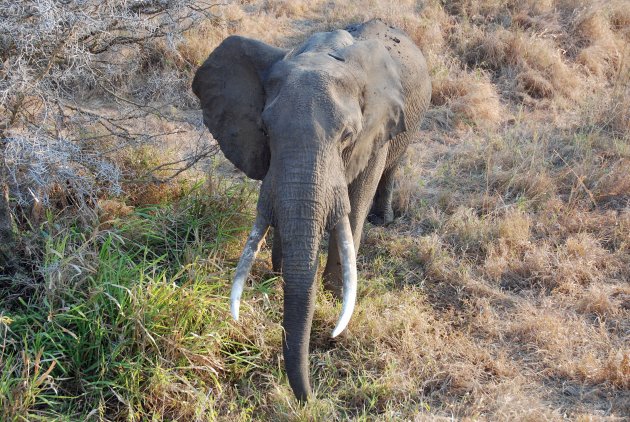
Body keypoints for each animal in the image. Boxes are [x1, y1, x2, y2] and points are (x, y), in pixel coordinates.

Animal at [194, 19, 434, 400]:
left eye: (348, 135)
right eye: (264, 130)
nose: (309, 398)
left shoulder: (375, 128)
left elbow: (355, 202)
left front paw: (334, 294)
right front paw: (278, 274)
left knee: (392, 165)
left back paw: (383, 219)